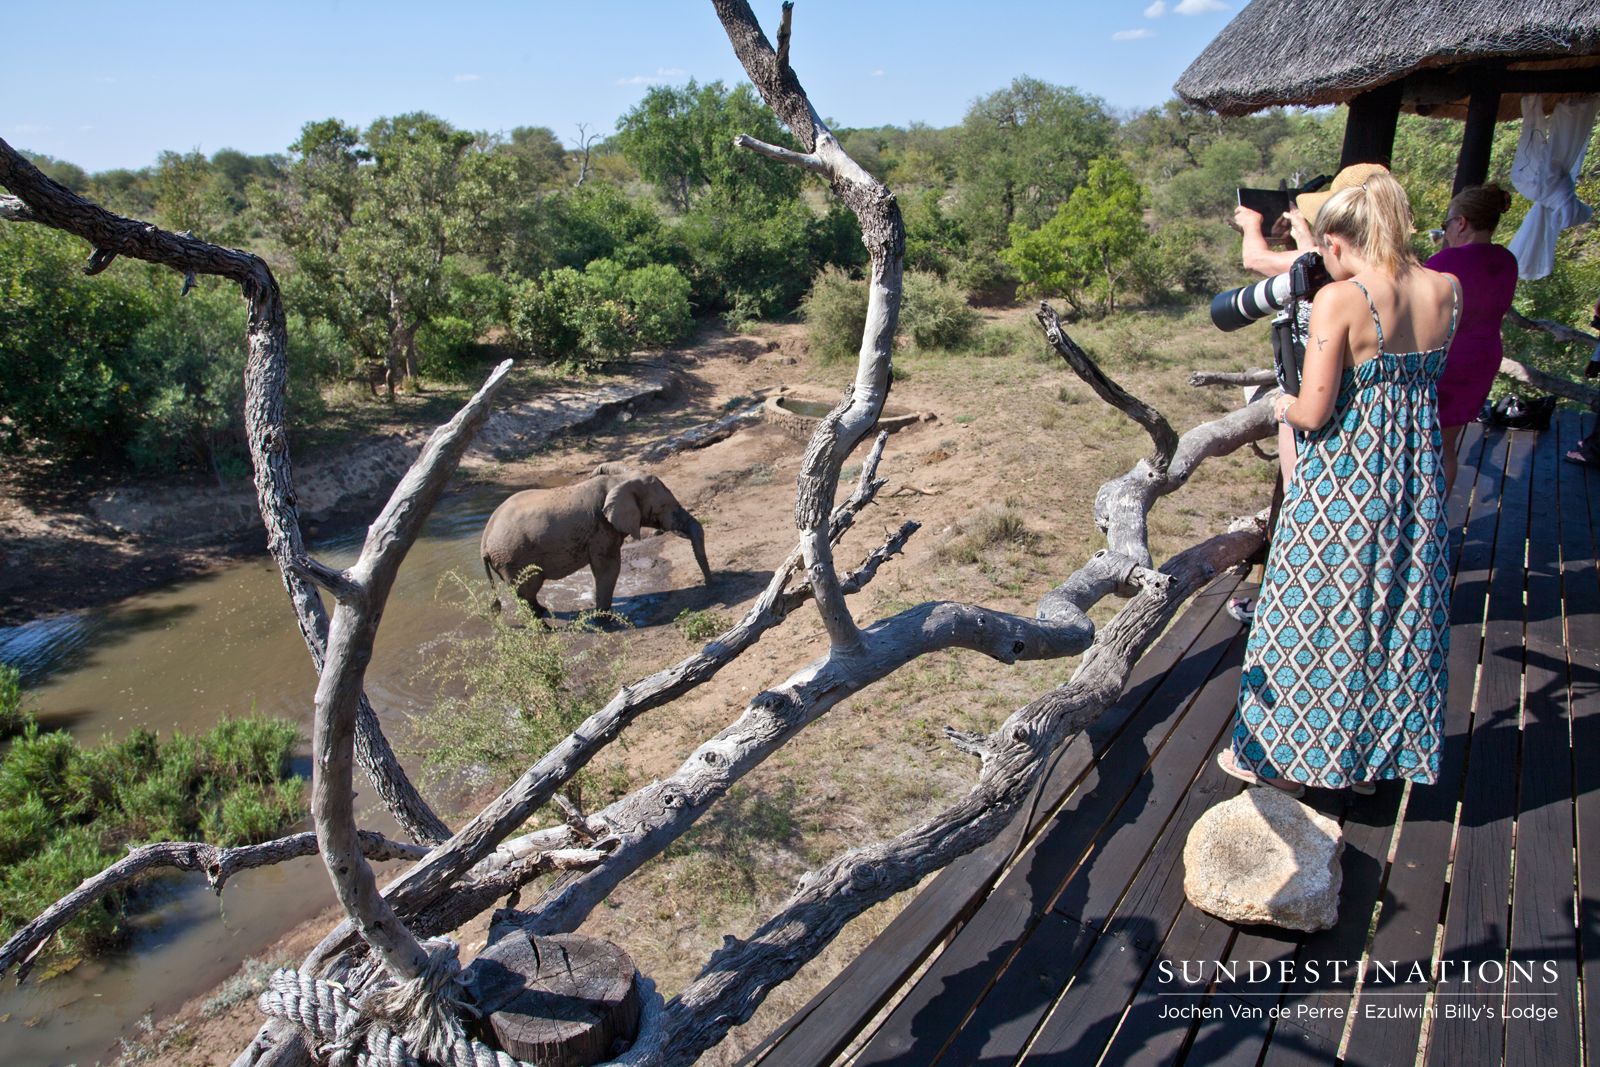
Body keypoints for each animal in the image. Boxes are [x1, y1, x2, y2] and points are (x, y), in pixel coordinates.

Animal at [473, 473, 713, 620]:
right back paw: (545, 627)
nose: (710, 584)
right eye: (662, 505)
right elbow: (608, 568)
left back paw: (544, 612)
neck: (619, 480)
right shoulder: (601, 527)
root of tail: (484, 541)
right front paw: (604, 619)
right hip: (513, 558)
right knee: (527, 590)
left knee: (527, 593)